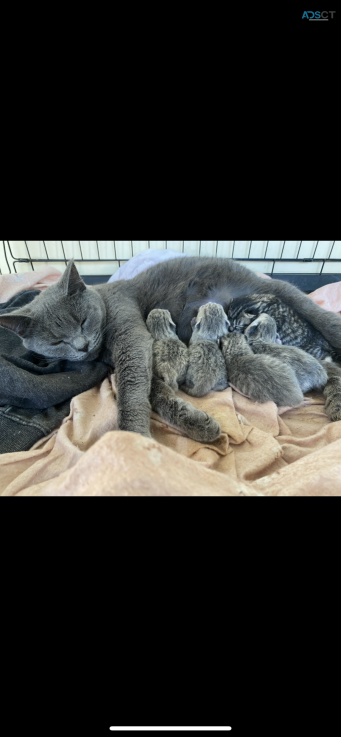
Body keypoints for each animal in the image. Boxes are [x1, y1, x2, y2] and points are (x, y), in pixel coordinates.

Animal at [0, 256, 340, 434]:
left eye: (83, 321)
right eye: (56, 342)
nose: (82, 347)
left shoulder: (131, 335)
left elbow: (132, 387)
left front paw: (132, 436)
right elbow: (152, 388)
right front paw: (194, 422)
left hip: (287, 294)